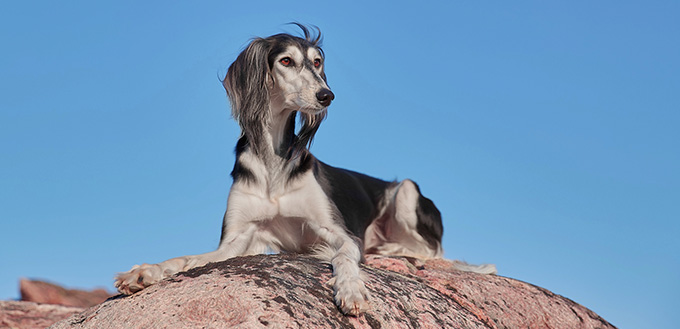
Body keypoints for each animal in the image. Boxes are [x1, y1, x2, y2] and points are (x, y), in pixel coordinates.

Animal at [113, 24, 494, 314]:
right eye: (286, 61)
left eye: (317, 62)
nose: (327, 95)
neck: (273, 162)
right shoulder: (239, 238)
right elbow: (187, 258)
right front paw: (145, 271)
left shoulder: (338, 233)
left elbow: (345, 258)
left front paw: (351, 288)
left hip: (407, 190)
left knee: (431, 250)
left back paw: (388, 249)